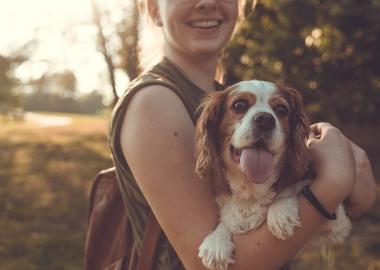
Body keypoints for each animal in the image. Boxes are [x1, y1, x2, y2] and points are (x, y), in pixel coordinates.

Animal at [194, 80, 352, 270]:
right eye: (239, 105)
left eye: (281, 110)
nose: (265, 119)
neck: (251, 189)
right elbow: (228, 218)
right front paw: (217, 241)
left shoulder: (337, 225)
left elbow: (294, 188)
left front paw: (280, 211)